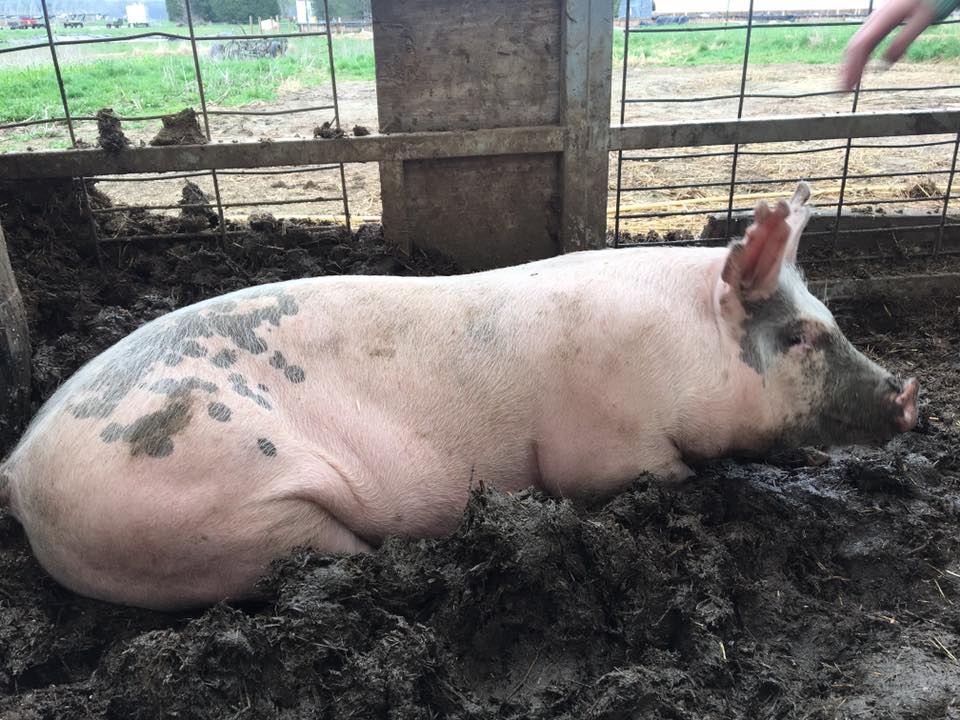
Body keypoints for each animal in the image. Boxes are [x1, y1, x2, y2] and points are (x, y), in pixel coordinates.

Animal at [0, 183, 918, 610]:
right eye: (798, 337)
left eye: (830, 320)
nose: (912, 397)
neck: (681, 349)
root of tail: (17, 466)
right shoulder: (605, 449)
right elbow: (654, 478)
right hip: (221, 515)